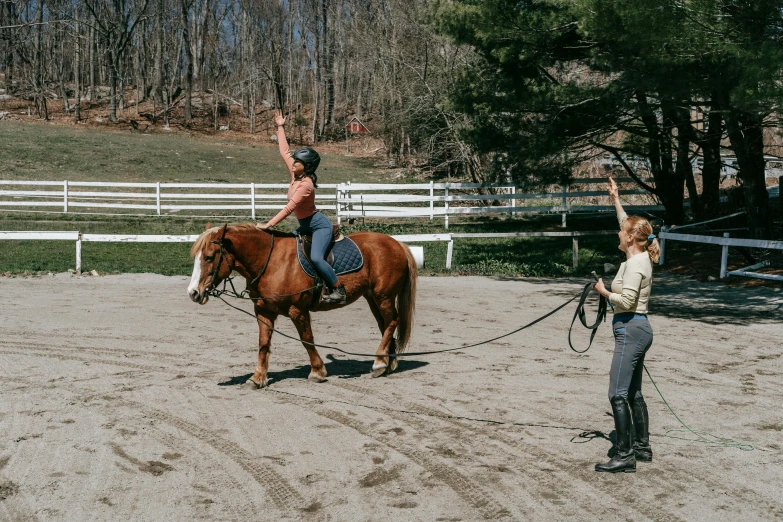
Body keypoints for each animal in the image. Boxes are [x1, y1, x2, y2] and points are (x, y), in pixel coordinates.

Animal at [187, 222, 416, 386]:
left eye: (209, 257)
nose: (193, 293)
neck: (271, 261)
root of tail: (397, 244)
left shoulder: (297, 310)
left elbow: (307, 340)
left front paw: (317, 371)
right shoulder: (263, 311)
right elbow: (263, 344)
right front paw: (257, 378)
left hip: (383, 296)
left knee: (392, 321)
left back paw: (379, 362)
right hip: (372, 298)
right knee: (385, 325)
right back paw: (388, 362)